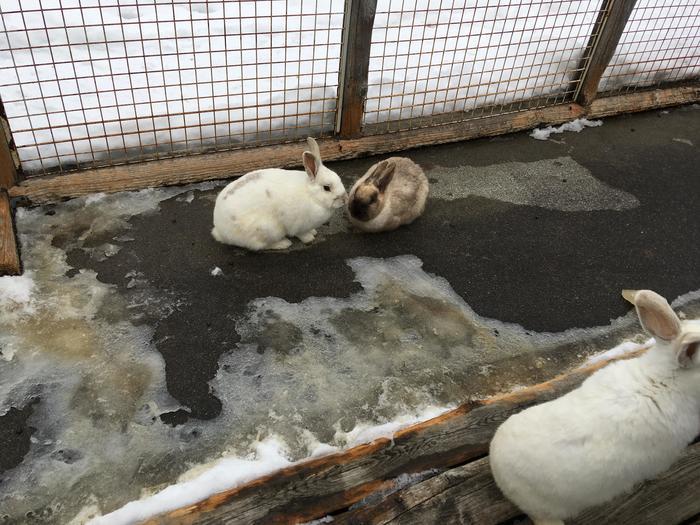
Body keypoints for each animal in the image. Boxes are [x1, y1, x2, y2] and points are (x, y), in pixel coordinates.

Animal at [211, 135, 348, 250]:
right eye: (327, 188)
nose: (345, 199)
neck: (312, 196)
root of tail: (220, 231)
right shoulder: (299, 225)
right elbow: (302, 234)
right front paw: (309, 238)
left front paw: (313, 232)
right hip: (269, 229)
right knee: (260, 246)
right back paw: (283, 243)